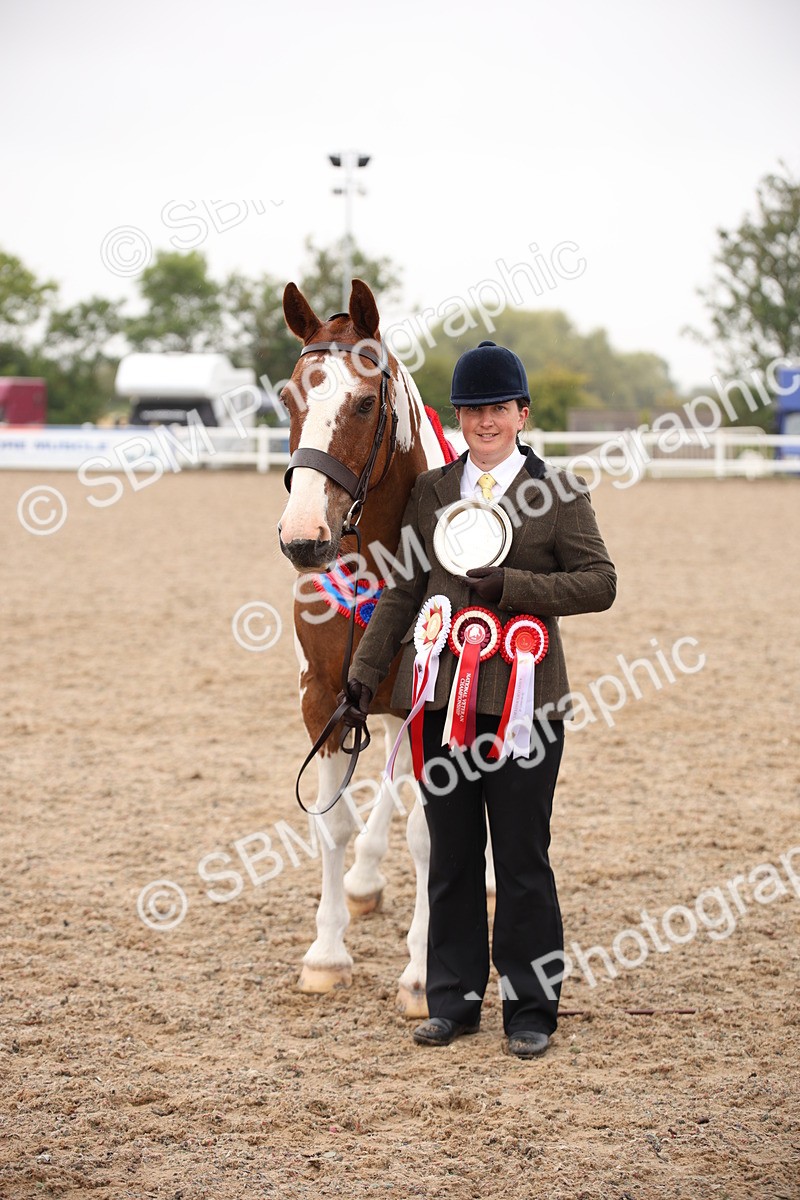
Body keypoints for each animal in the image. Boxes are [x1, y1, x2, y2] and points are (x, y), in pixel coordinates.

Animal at [277, 279, 494, 1017]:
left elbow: (430, 835)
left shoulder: (431, 698)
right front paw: (325, 954)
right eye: (287, 398)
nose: (303, 537)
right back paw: (366, 883)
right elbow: (334, 825)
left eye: (365, 402)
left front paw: (425, 975)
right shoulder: (323, 698)